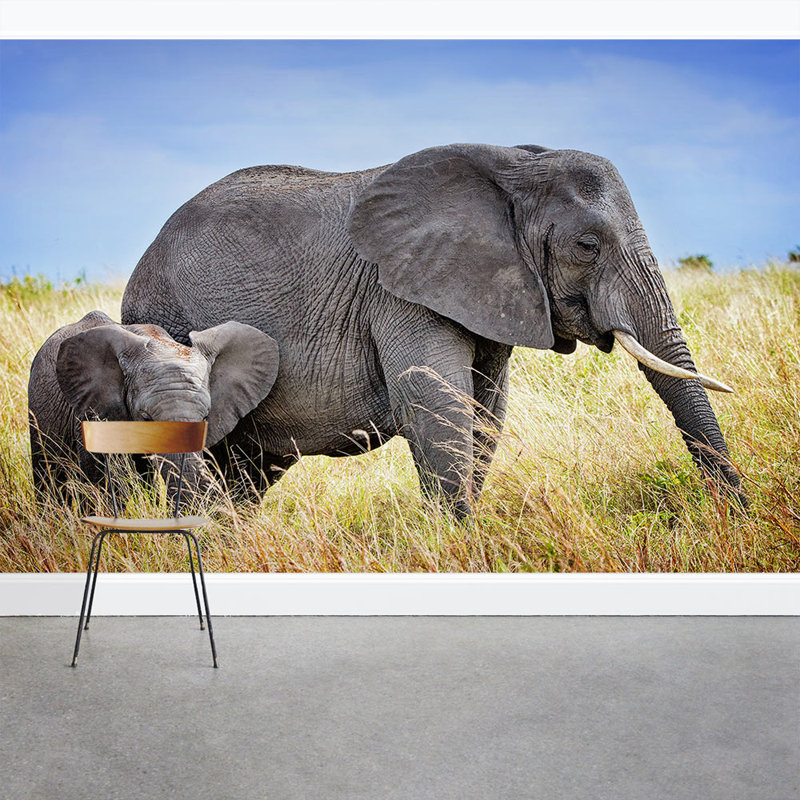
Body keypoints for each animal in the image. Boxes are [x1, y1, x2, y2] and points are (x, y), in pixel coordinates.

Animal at [121, 142, 742, 517]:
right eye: (587, 245)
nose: (735, 514)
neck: (512, 166)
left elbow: (487, 410)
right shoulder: (399, 291)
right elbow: (434, 400)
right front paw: (457, 540)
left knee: (249, 468)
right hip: (166, 319)